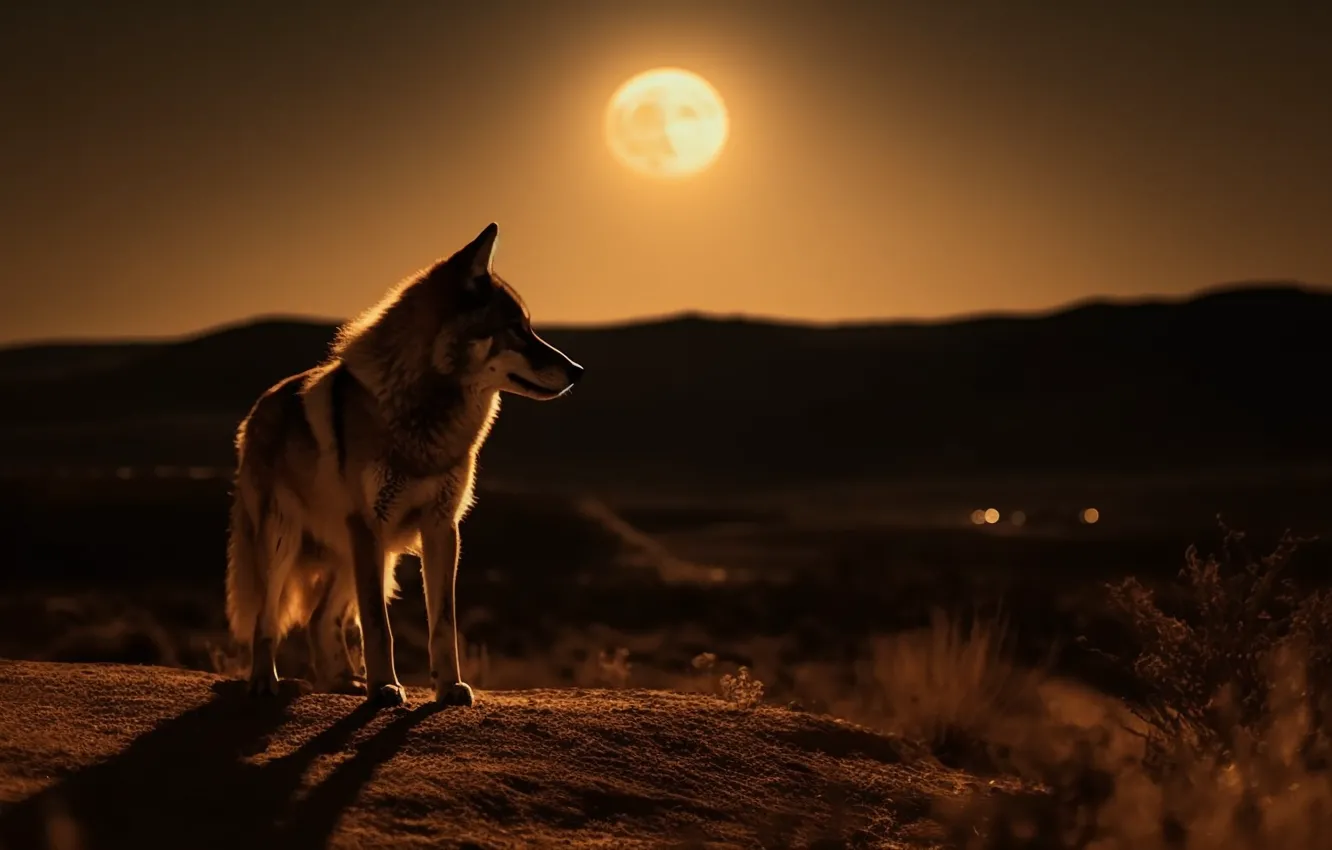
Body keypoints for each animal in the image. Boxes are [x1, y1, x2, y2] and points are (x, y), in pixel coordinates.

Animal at [224, 222, 583, 707]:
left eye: (529, 327)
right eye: (515, 329)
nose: (578, 370)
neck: (426, 420)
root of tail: (258, 407)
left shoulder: (442, 527)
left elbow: (443, 625)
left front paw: (448, 687)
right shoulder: (369, 526)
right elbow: (379, 627)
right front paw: (384, 688)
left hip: (370, 556)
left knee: (320, 620)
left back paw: (343, 681)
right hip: (289, 542)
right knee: (268, 619)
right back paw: (267, 681)